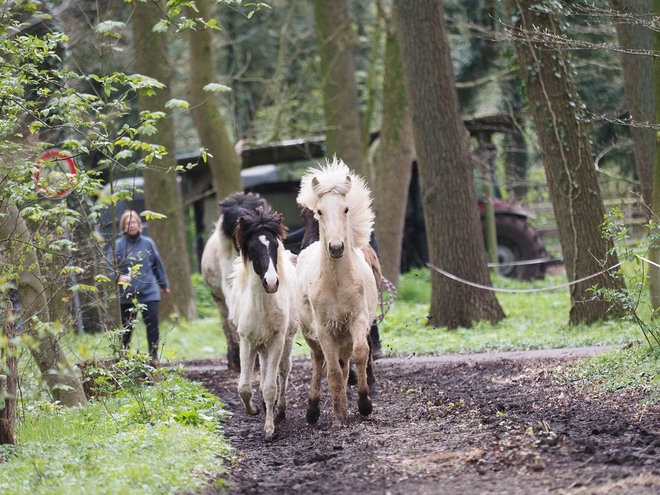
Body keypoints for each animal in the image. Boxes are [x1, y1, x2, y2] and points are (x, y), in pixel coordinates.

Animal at [228, 207, 298, 440]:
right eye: (251, 248)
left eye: (275, 246)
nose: (272, 283)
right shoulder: (247, 341)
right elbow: (244, 387)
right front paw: (253, 409)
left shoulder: (277, 340)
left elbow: (270, 387)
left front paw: (269, 429)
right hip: (261, 345)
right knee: (266, 369)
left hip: (288, 339)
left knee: (283, 370)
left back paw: (280, 410)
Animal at [296, 157, 376, 424]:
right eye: (320, 211)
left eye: (346, 209)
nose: (336, 247)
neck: (337, 284)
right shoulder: (323, 329)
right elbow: (330, 369)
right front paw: (339, 416)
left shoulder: (357, 319)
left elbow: (361, 353)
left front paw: (364, 405)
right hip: (310, 334)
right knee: (319, 361)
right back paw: (314, 410)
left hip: (344, 335)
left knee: (343, 362)